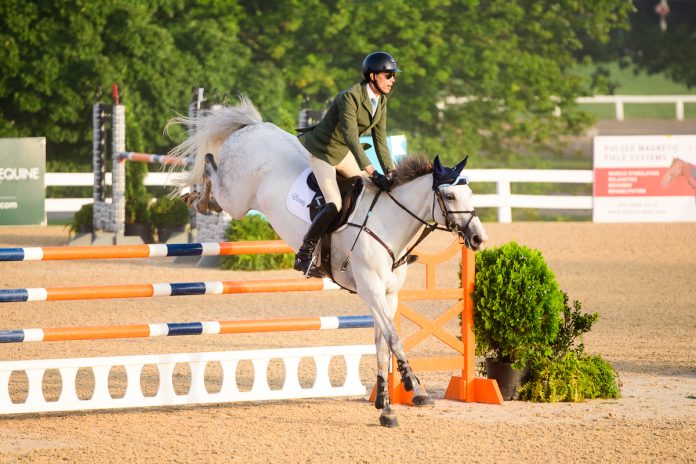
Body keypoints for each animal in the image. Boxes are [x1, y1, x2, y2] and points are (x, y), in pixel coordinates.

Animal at [166, 96, 487, 427]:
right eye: (449, 197)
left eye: (469, 193)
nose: (478, 238)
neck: (388, 221)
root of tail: (254, 127)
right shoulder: (370, 290)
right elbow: (394, 339)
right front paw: (416, 388)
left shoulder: (388, 295)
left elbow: (382, 345)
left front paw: (385, 407)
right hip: (238, 199)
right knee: (210, 166)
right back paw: (197, 195)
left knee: (215, 190)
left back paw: (199, 199)